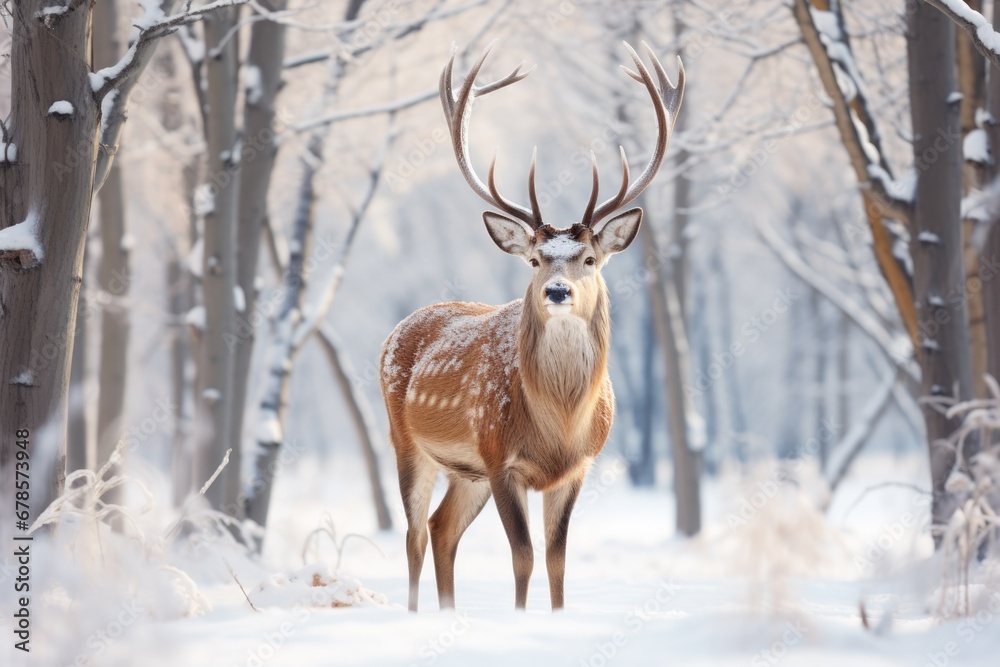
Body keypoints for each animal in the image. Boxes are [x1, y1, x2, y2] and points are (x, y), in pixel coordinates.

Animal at [379, 41, 684, 612]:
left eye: (588, 258)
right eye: (536, 259)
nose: (557, 291)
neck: (558, 427)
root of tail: (397, 329)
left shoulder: (577, 467)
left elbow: (558, 562)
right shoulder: (501, 459)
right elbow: (522, 557)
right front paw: (521, 618)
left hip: (466, 471)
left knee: (441, 528)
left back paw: (448, 612)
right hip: (406, 439)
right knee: (413, 533)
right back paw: (414, 615)